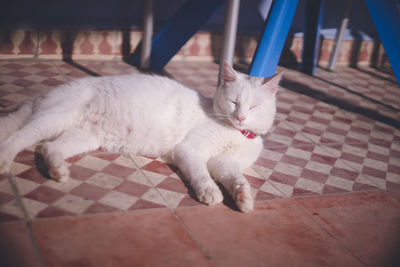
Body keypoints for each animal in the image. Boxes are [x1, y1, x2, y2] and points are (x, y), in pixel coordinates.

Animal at [0, 62, 282, 214]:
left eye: (253, 107)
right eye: (234, 102)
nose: (241, 117)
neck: (236, 132)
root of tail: (42, 95)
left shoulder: (224, 163)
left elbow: (237, 179)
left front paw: (244, 199)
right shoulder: (190, 151)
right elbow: (202, 175)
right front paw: (210, 193)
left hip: (82, 137)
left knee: (49, 148)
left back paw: (58, 171)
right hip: (53, 119)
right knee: (19, 138)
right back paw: (4, 162)